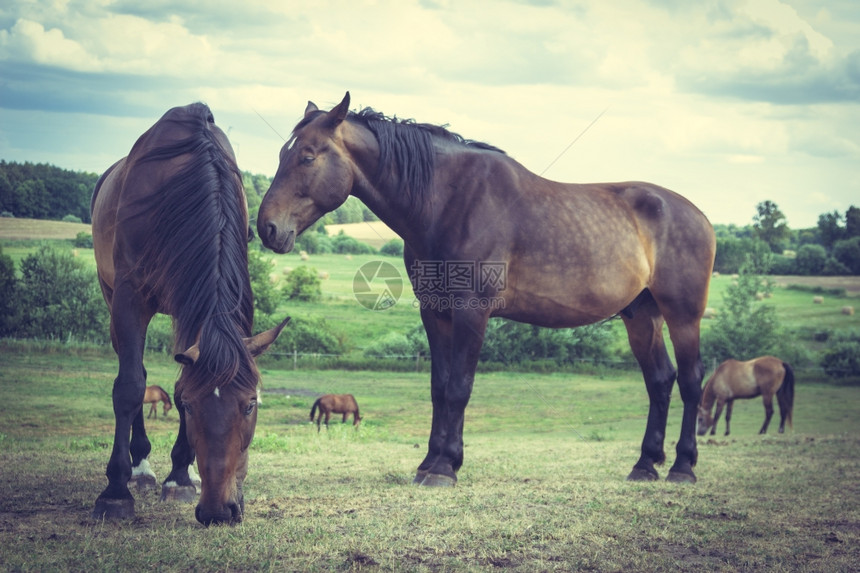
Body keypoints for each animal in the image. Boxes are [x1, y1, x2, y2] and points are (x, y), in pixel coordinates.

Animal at [92, 101, 288, 524]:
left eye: (250, 404)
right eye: (191, 408)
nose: (219, 511)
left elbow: (181, 377)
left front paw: (181, 475)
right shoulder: (130, 299)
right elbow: (130, 386)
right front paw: (115, 491)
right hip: (111, 296)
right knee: (133, 372)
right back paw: (139, 468)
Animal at [258, 91, 716, 484]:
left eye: (307, 155)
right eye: (283, 153)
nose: (267, 228)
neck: (448, 201)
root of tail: (700, 216)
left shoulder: (471, 312)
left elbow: (459, 388)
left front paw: (445, 468)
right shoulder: (435, 312)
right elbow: (439, 388)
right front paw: (429, 462)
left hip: (683, 315)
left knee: (691, 381)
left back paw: (683, 466)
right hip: (641, 315)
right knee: (660, 380)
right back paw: (645, 464)